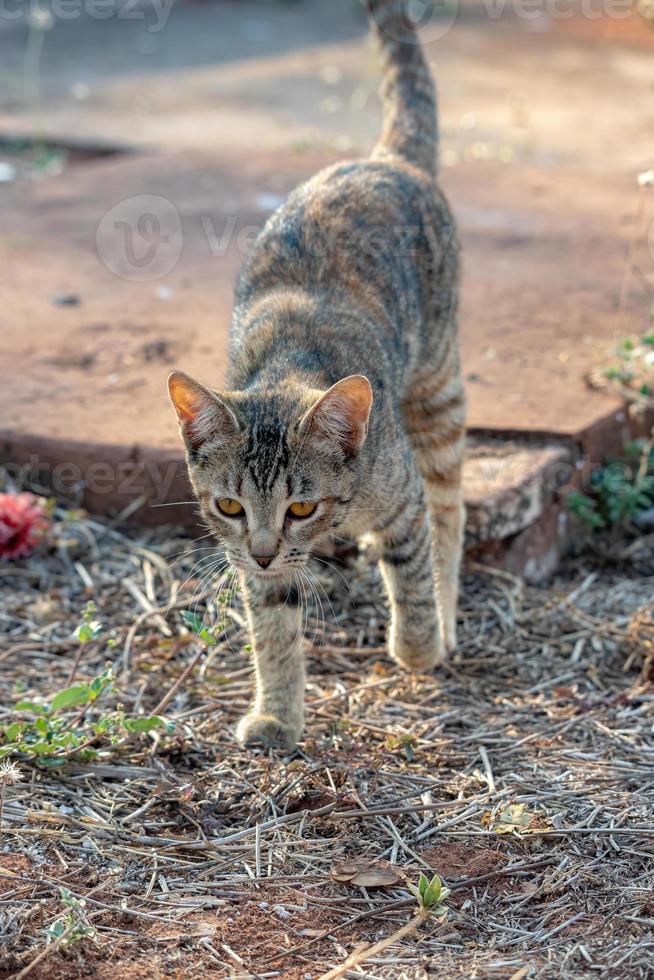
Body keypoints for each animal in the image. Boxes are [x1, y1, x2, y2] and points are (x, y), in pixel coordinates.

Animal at [169, 0, 466, 752]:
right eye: (230, 506)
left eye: (300, 507)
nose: (267, 551)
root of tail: (384, 158)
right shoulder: (254, 567)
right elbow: (273, 631)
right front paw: (278, 712)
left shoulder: (400, 499)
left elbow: (412, 575)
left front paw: (419, 646)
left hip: (439, 390)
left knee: (452, 507)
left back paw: (447, 615)